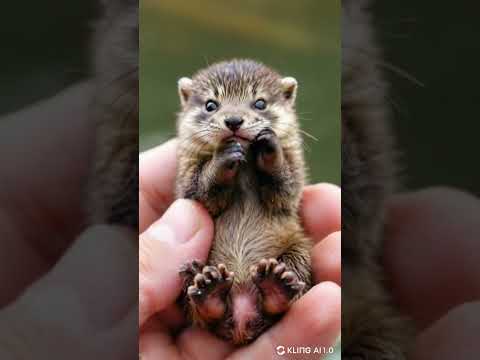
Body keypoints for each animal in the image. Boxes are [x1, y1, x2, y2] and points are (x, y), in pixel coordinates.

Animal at [175, 59, 312, 346]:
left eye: (260, 103)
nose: (234, 120)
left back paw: (276, 284)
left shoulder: (294, 172)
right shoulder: (187, 173)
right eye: (211, 105)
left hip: (299, 252)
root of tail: (242, 314)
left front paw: (269, 146)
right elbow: (201, 192)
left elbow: (286, 189)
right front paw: (223, 158)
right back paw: (207, 286)